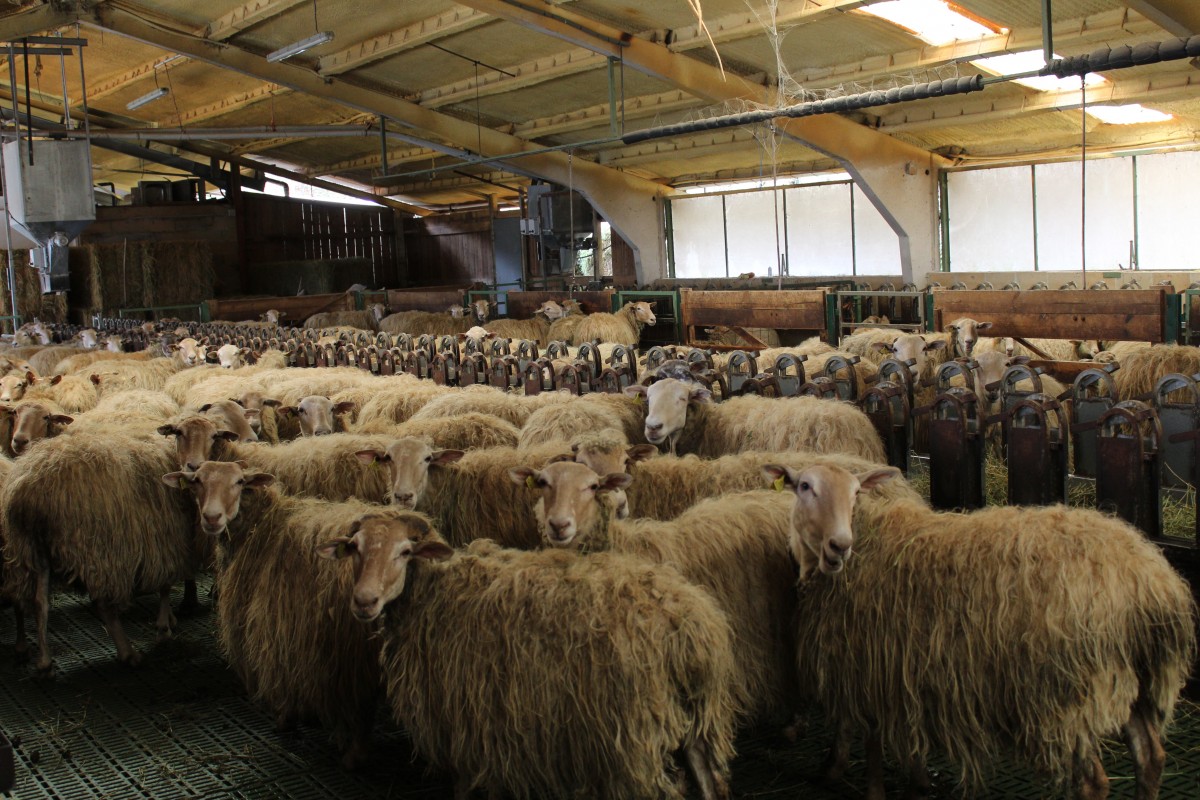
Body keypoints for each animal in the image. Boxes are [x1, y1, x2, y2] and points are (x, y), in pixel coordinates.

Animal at [319, 515, 734, 796]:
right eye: (354, 548)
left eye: (405, 552)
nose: (364, 601)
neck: (435, 591)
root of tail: (689, 626)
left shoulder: (460, 725)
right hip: (695, 721)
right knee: (709, 782)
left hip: (635, 739)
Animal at [772, 462, 1195, 800]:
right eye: (805, 486)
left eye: (856, 493)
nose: (838, 546)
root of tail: (1150, 584)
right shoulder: (897, 670)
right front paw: (915, 778)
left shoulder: (867, 664)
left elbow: (868, 736)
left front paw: (858, 780)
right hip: (1139, 681)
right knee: (1150, 757)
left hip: (1071, 694)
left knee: (1094, 783)